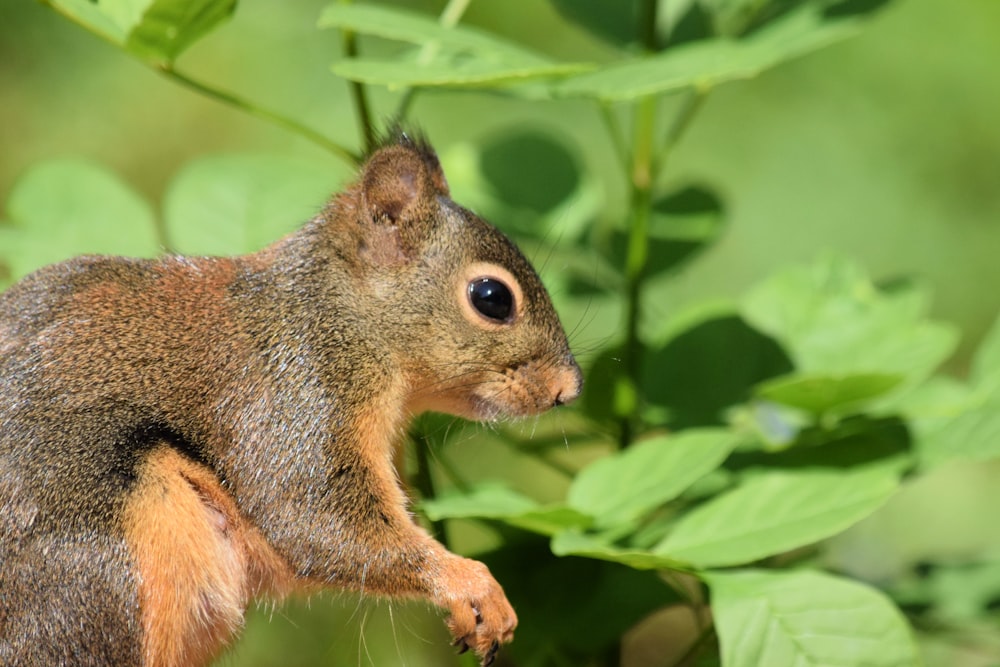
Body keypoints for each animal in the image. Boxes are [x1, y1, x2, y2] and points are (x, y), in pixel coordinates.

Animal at [0, 134, 580, 667]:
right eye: (492, 298)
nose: (568, 389)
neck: (334, 314)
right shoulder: (296, 393)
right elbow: (315, 521)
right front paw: (467, 581)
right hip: (101, 565)